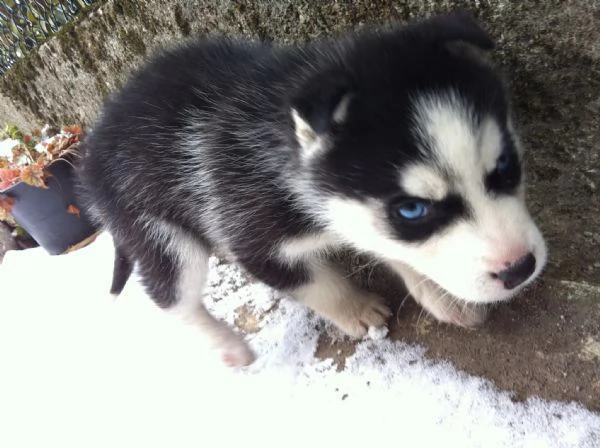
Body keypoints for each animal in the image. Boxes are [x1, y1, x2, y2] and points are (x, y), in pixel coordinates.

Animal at [77, 12, 548, 366]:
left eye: (505, 165)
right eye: (412, 210)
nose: (519, 268)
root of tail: (93, 141)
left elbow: (390, 247)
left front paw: (438, 292)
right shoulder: (248, 230)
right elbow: (313, 282)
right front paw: (356, 308)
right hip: (159, 233)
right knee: (174, 298)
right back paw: (228, 347)